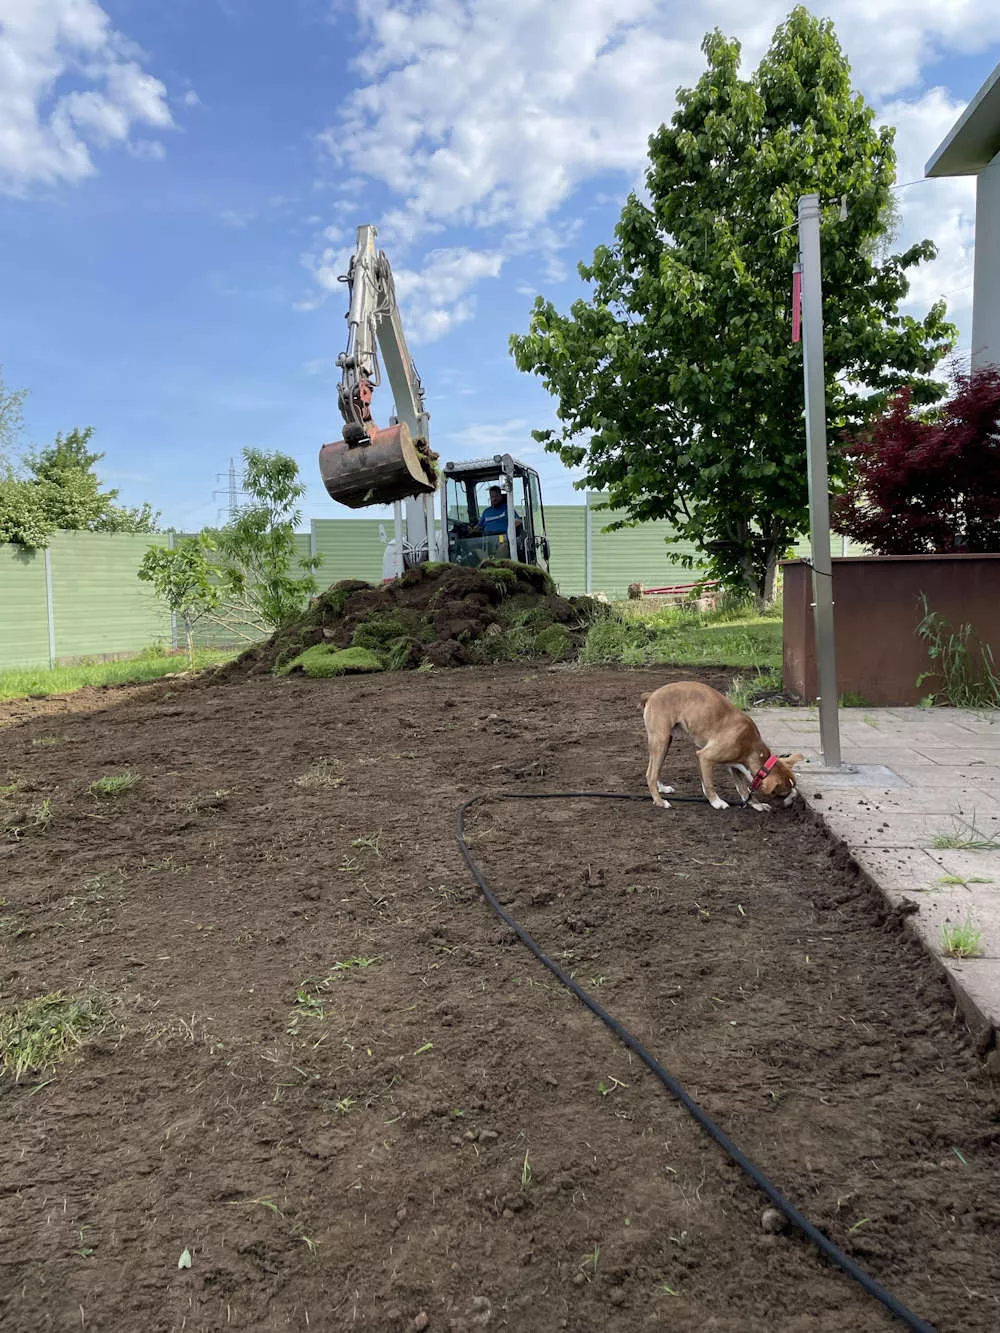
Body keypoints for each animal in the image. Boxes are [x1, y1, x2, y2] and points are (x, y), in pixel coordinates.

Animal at [642, 687, 805, 810]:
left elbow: (743, 789)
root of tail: (652, 694)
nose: (794, 799)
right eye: (782, 794)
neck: (751, 747)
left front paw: (756, 804)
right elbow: (709, 783)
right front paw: (716, 802)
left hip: (665, 743)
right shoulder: (705, 756)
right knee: (650, 774)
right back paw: (659, 801)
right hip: (661, 741)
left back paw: (662, 788)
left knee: (655, 770)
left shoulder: (734, 766)